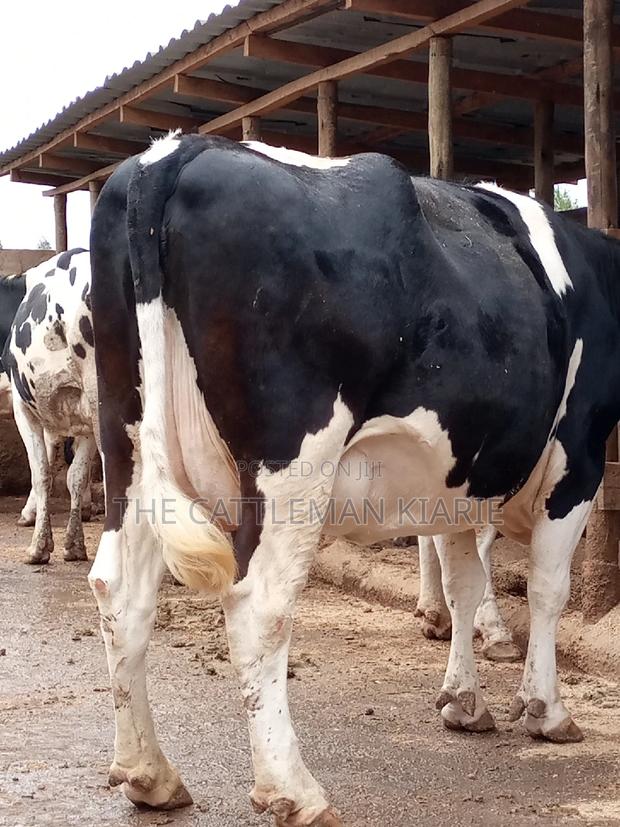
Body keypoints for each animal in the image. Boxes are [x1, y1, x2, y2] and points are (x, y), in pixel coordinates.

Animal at [3, 250, 99, 564]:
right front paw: (74, 545)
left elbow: (42, 472)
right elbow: (75, 475)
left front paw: (38, 545)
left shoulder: (24, 407)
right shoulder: (80, 418)